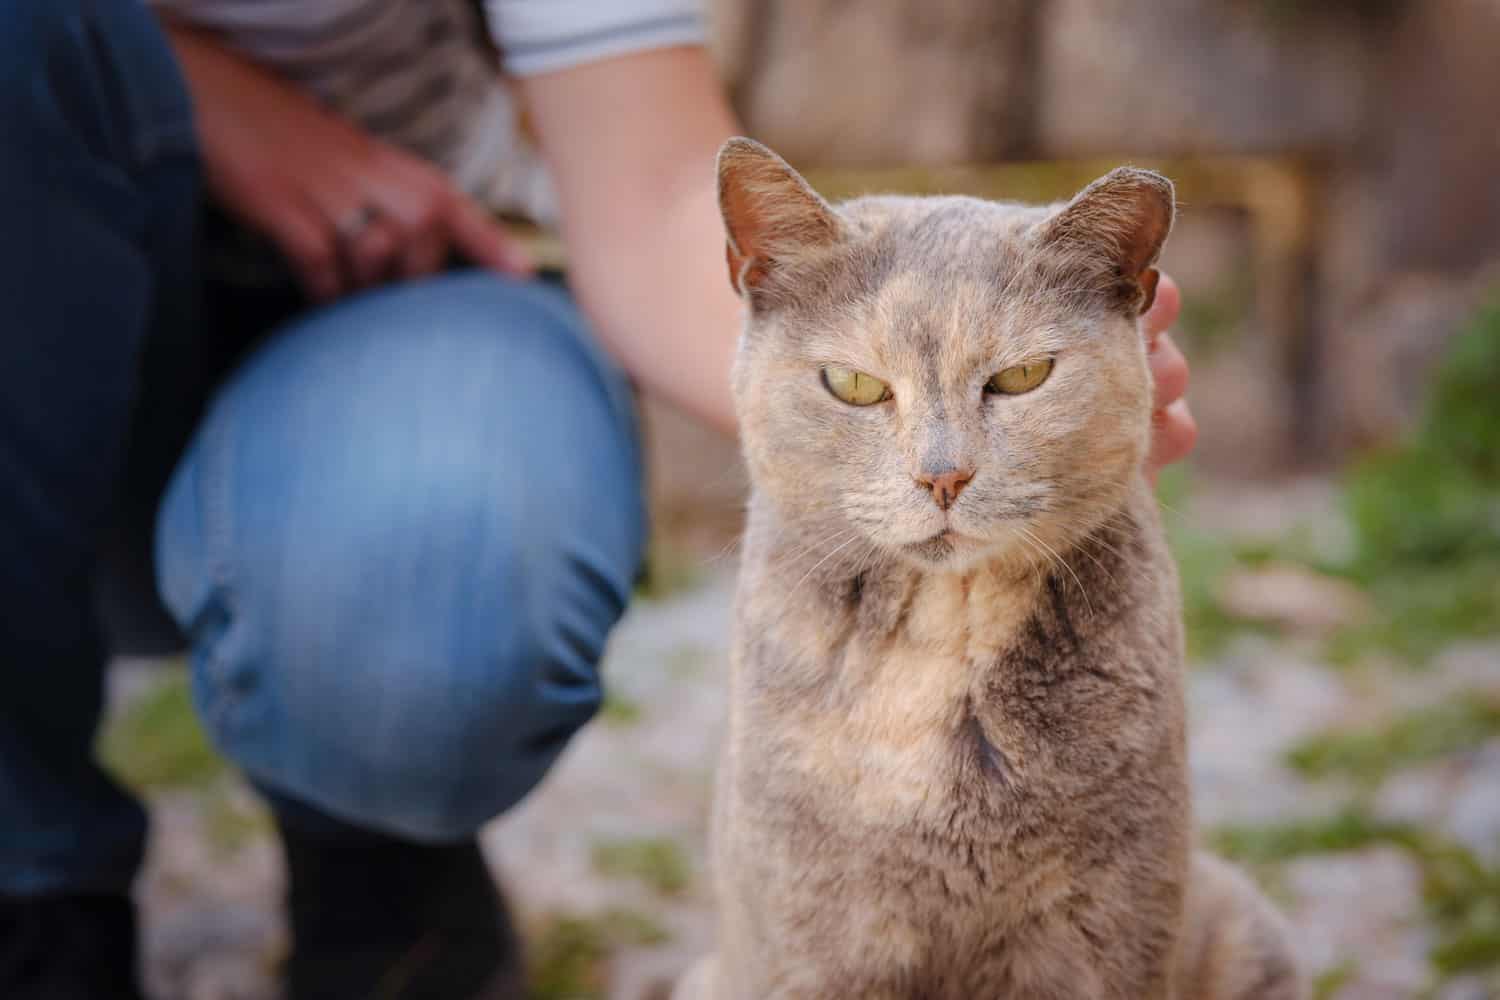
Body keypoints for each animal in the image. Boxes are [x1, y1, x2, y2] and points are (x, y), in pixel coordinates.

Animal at [675, 140, 1308, 1000]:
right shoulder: (808, 938)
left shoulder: (1109, 923)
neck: (940, 641)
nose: (943, 476)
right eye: (855, 385)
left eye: (1022, 377)